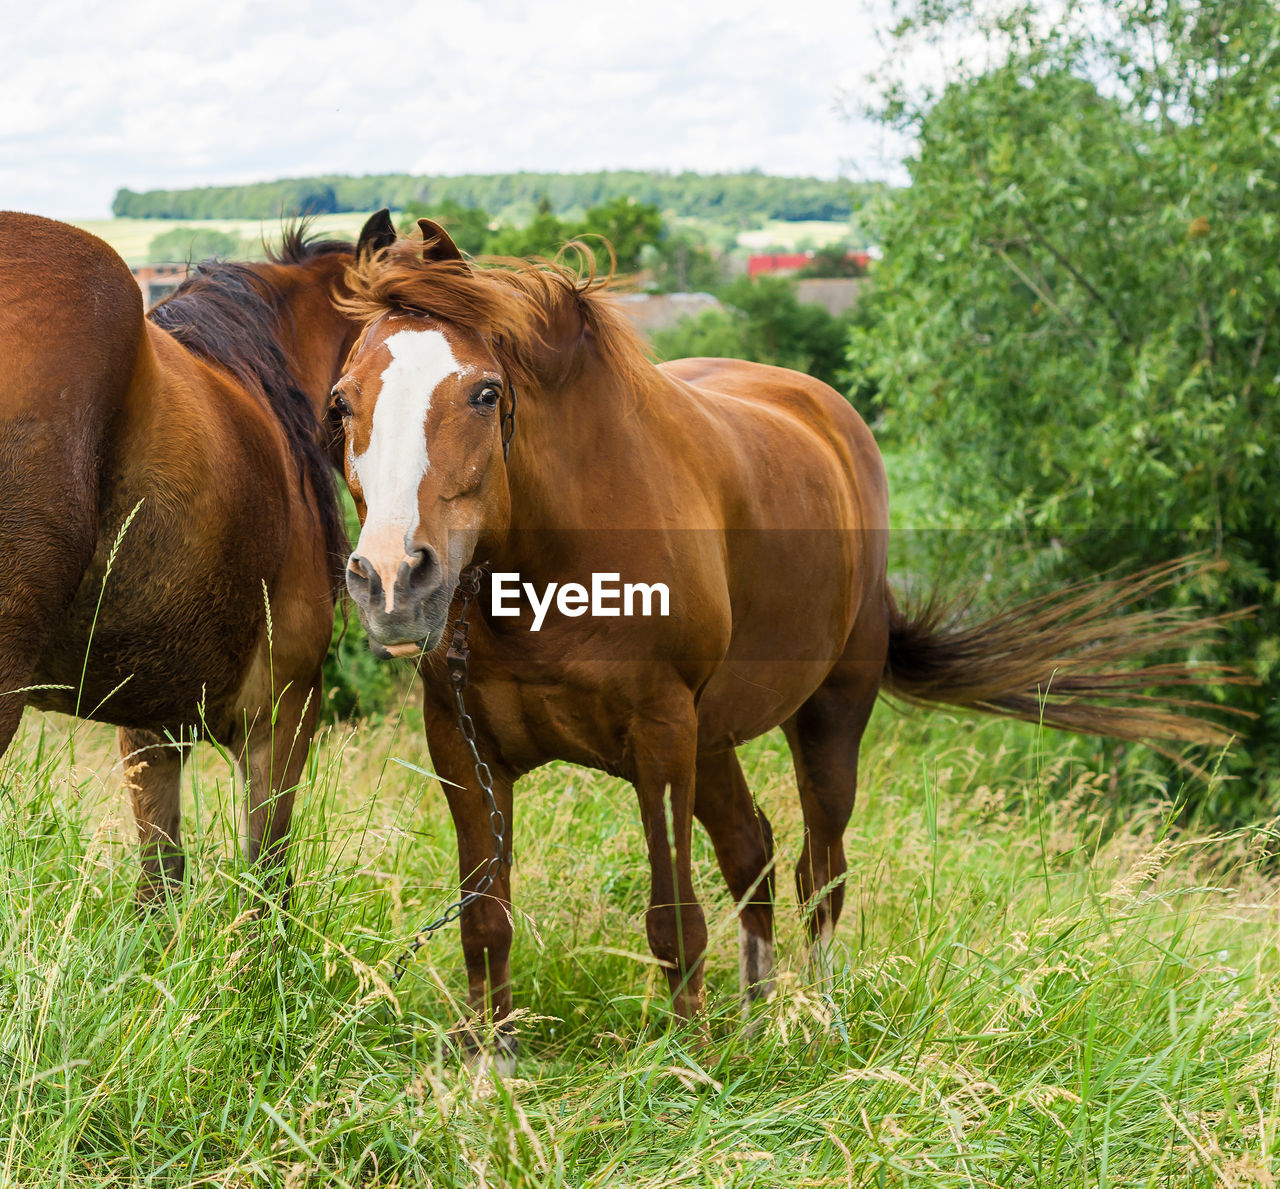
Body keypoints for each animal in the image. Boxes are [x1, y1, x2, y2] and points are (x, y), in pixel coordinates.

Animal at [335, 217, 1233, 1064]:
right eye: (343, 402)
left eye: (486, 393)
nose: (393, 580)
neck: (559, 551)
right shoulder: (465, 745)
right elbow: (485, 918)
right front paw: (492, 1067)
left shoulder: (662, 739)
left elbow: (674, 919)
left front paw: (687, 1068)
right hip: (715, 739)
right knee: (753, 852)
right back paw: (757, 1016)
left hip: (826, 716)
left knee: (818, 870)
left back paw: (816, 1016)